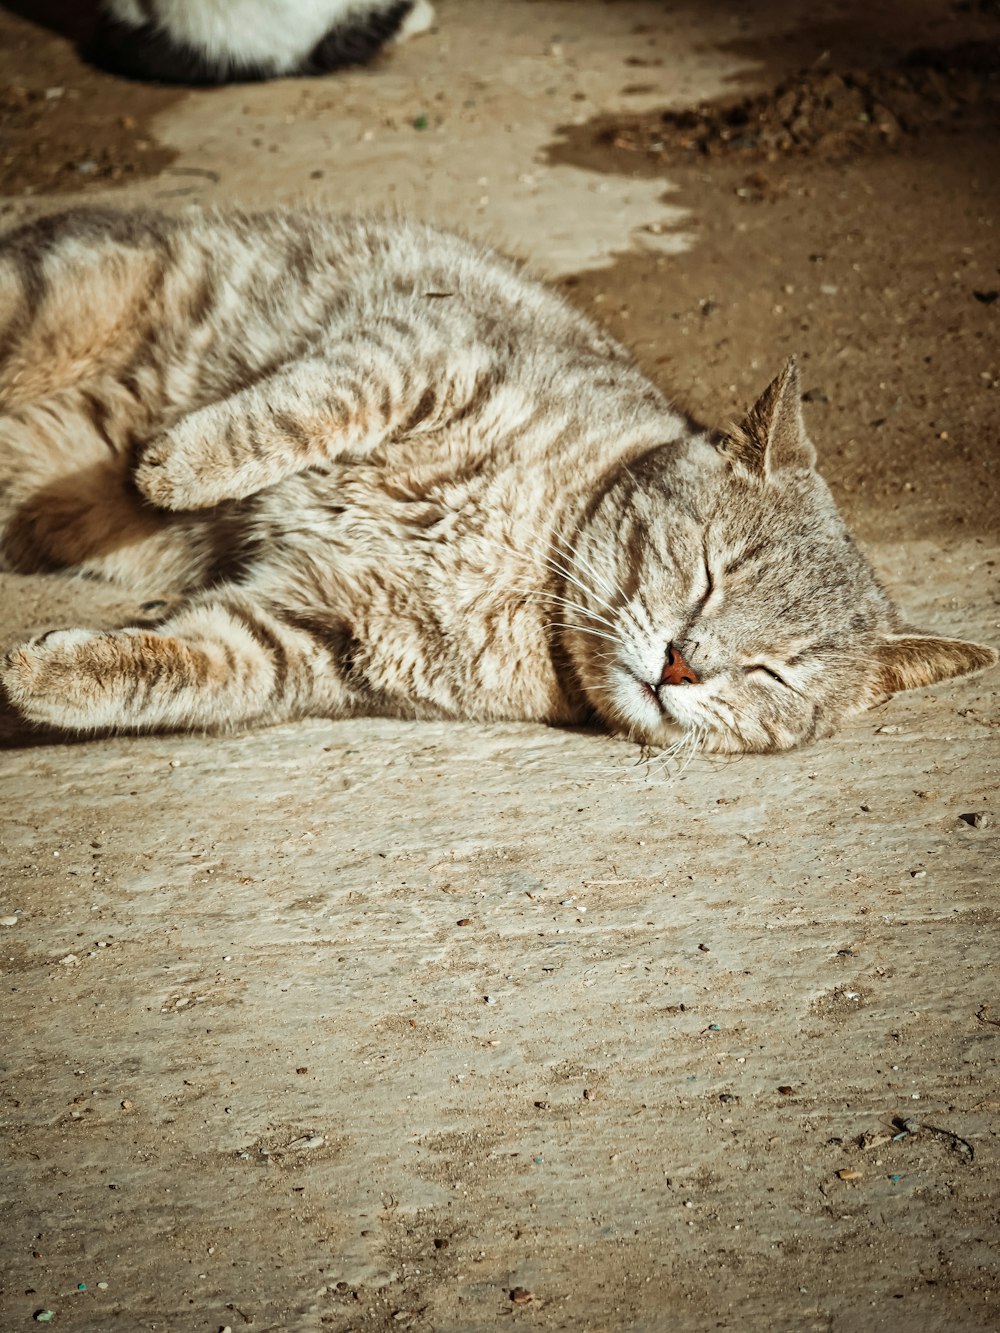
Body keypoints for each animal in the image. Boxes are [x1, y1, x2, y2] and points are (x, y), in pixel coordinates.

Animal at [0, 206, 997, 751]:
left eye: (776, 674)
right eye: (710, 573)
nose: (682, 663)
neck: (529, 565)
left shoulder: (313, 637)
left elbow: (175, 669)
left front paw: (47, 677)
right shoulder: (423, 345)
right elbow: (288, 414)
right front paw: (173, 467)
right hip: (40, 300)